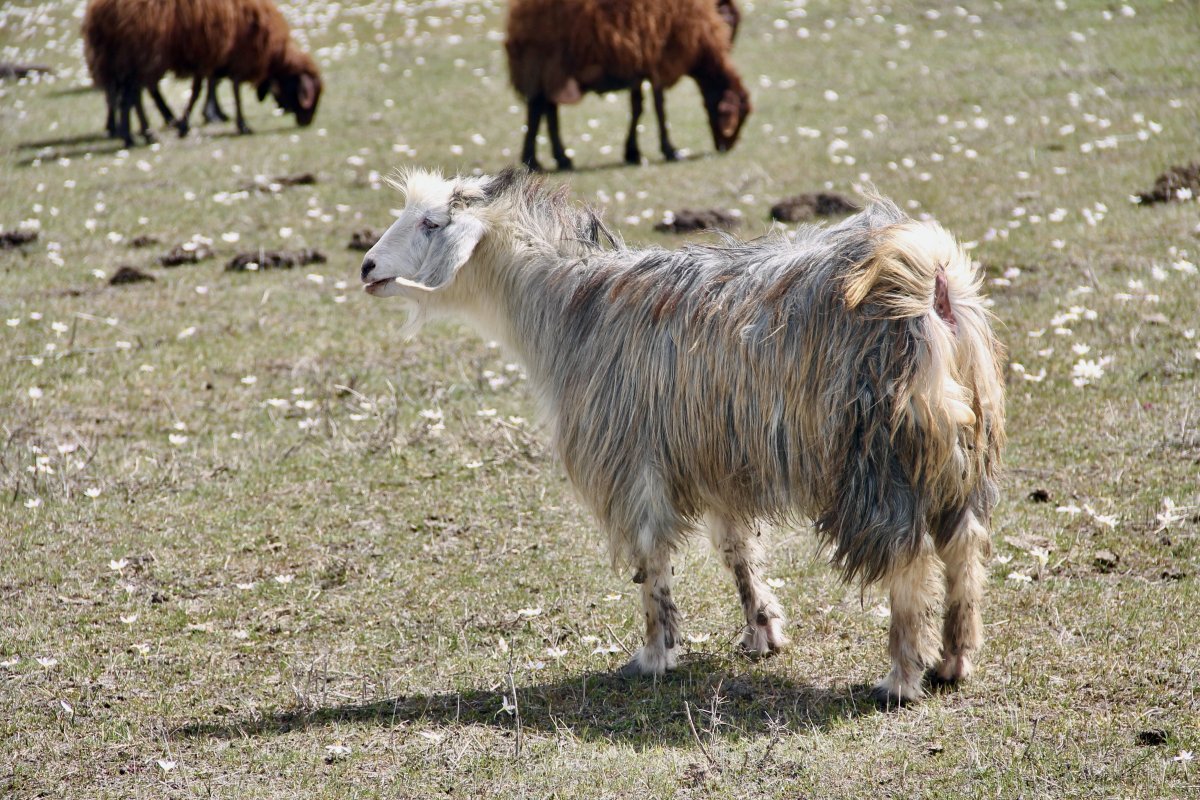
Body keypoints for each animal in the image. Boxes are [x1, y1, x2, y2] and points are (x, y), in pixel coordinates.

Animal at [360, 169, 1008, 705]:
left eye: (431, 223)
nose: (367, 268)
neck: (569, 310)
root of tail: (929, 277)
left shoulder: (633, 460)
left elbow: (651, 559)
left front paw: (654, 654)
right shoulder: (714, 460)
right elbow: (736, 549)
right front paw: (763, 631)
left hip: (879, 452)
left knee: (908, 556)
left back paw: (900, 677)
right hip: (959, 450)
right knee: (964, 545)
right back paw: (953, 661)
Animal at [504, 0, 748, 169]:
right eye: (737, 120)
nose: (726, 147)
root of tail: (516, 19)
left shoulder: (639, 67)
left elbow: (637, 107)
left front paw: (633, 153)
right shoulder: (659, 61)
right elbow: (659, 108)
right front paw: (670, 150)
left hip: (550, 68)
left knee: (547, 108)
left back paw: (558, 158)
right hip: (545, 60)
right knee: (538, 108)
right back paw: (535, 160)